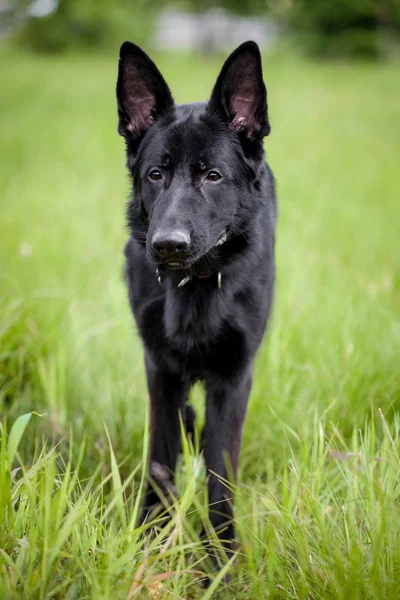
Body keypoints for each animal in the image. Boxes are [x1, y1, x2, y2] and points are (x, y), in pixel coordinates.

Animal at [117, 41, 276, 568]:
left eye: (213, 175)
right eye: (156, 174)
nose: (167, 245)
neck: (195, 284)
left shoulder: (233, 378)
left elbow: (220, 477)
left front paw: (222, 564)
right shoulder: (160, 369)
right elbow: (160, 459)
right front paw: (149, 544)